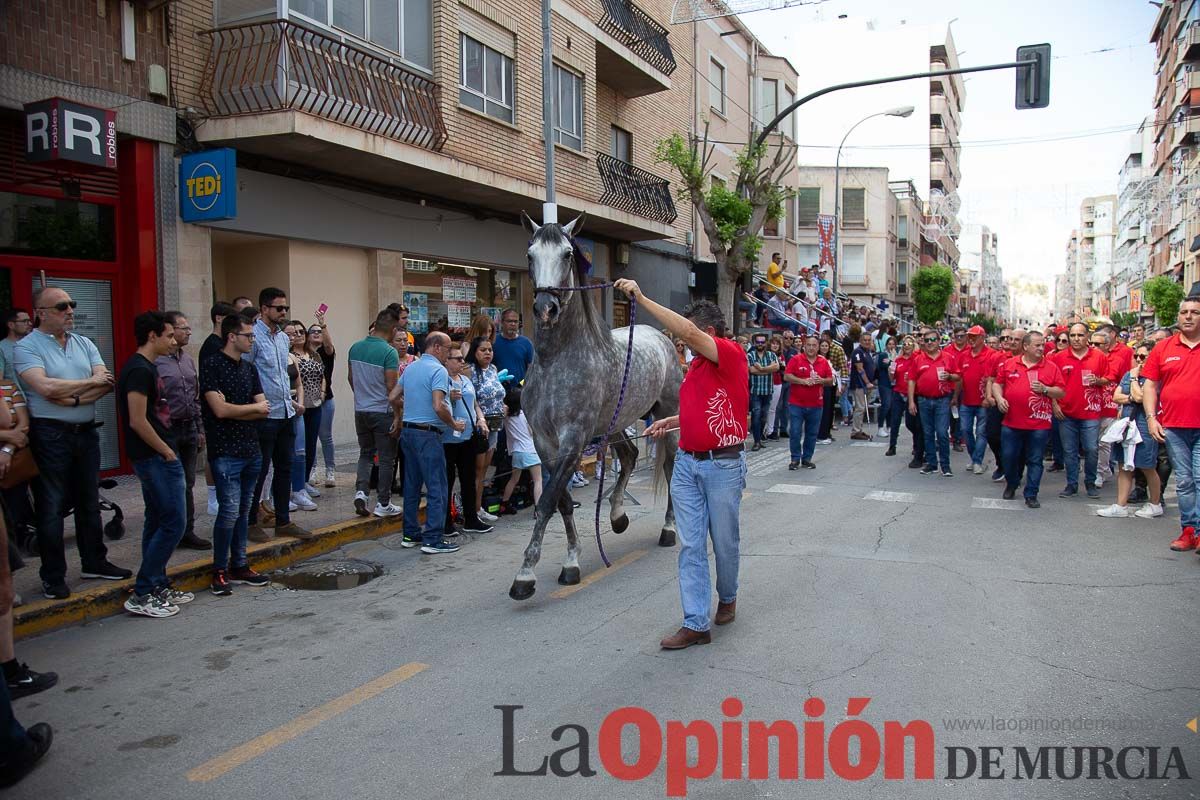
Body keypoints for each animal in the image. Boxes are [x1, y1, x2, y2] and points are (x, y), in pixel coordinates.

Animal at [506, 212, 681, 599]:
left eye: (568, 254)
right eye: (529, 253)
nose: (545, 308)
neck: (556, 362)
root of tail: (662, 337)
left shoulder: (574, 437)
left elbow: (547, 500)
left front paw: (525, 574)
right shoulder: (544, 441)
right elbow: (560, 500)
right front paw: (570, 559)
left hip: (667, 418)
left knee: (670, 468)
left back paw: (669, 529)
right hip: (615, 423)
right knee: (630, 456)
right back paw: (617, 517)